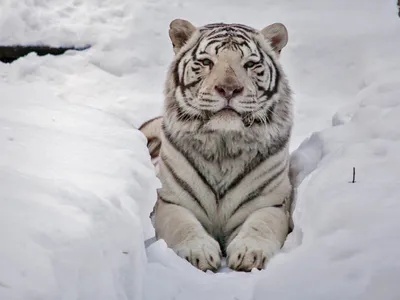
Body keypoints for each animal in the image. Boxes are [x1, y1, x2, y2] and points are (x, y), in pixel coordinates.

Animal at [140, 18, 294, 272]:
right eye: (206, 62)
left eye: (250, 64)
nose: (229, 89)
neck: (223, 143)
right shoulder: (171, 200)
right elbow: (183, 225)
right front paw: (199, 252)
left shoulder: (270, 201)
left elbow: (261, 225)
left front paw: (249, 253)